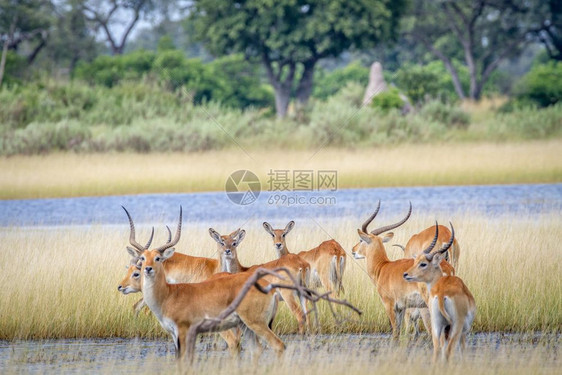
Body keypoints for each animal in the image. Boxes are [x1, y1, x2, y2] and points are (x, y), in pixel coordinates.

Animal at [350, 204, 456, 340]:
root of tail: (447, 268)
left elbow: (395, 332)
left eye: (361, 240)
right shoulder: (402, 308)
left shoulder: (390, 306)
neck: (382, 267)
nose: (353, 250)